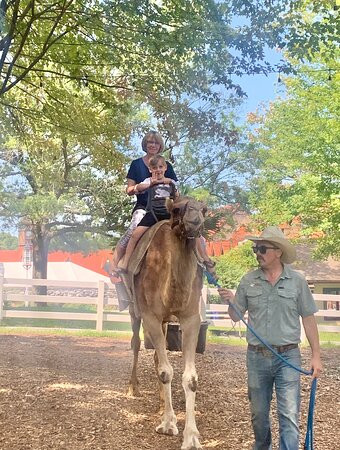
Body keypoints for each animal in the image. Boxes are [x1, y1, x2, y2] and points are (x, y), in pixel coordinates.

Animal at [128, 196, 206, 450]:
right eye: (177, 209)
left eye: (205, 209)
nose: (195, 221)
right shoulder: (150, 315)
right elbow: (165, 371)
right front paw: (168, 424)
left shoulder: (191, 318)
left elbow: (190, 378)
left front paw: (191, 436)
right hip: (135, 310)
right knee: (135, 343)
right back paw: (133, 387)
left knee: (155, 354)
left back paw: (162, 401)